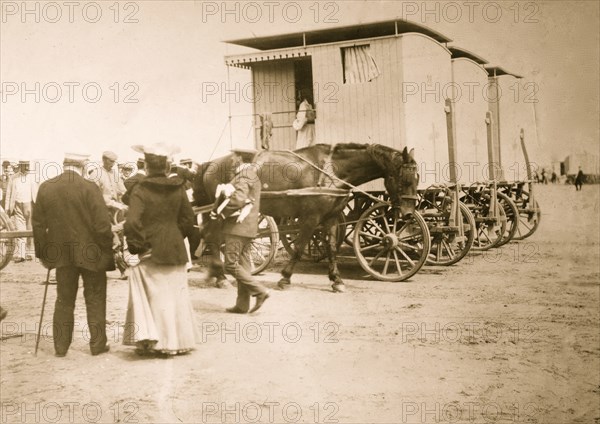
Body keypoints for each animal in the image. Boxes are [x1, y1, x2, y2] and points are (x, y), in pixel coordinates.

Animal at [185, 144, 420, 294]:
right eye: (404, 179)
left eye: (417, 177)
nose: (408, 213)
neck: (332, 171)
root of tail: (210, 164)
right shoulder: (311, 217)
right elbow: (298, 247)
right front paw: (285, 278)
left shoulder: (330, 218)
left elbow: (331, 248)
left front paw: (337, 280)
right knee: (213, 239)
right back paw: (222, 278)